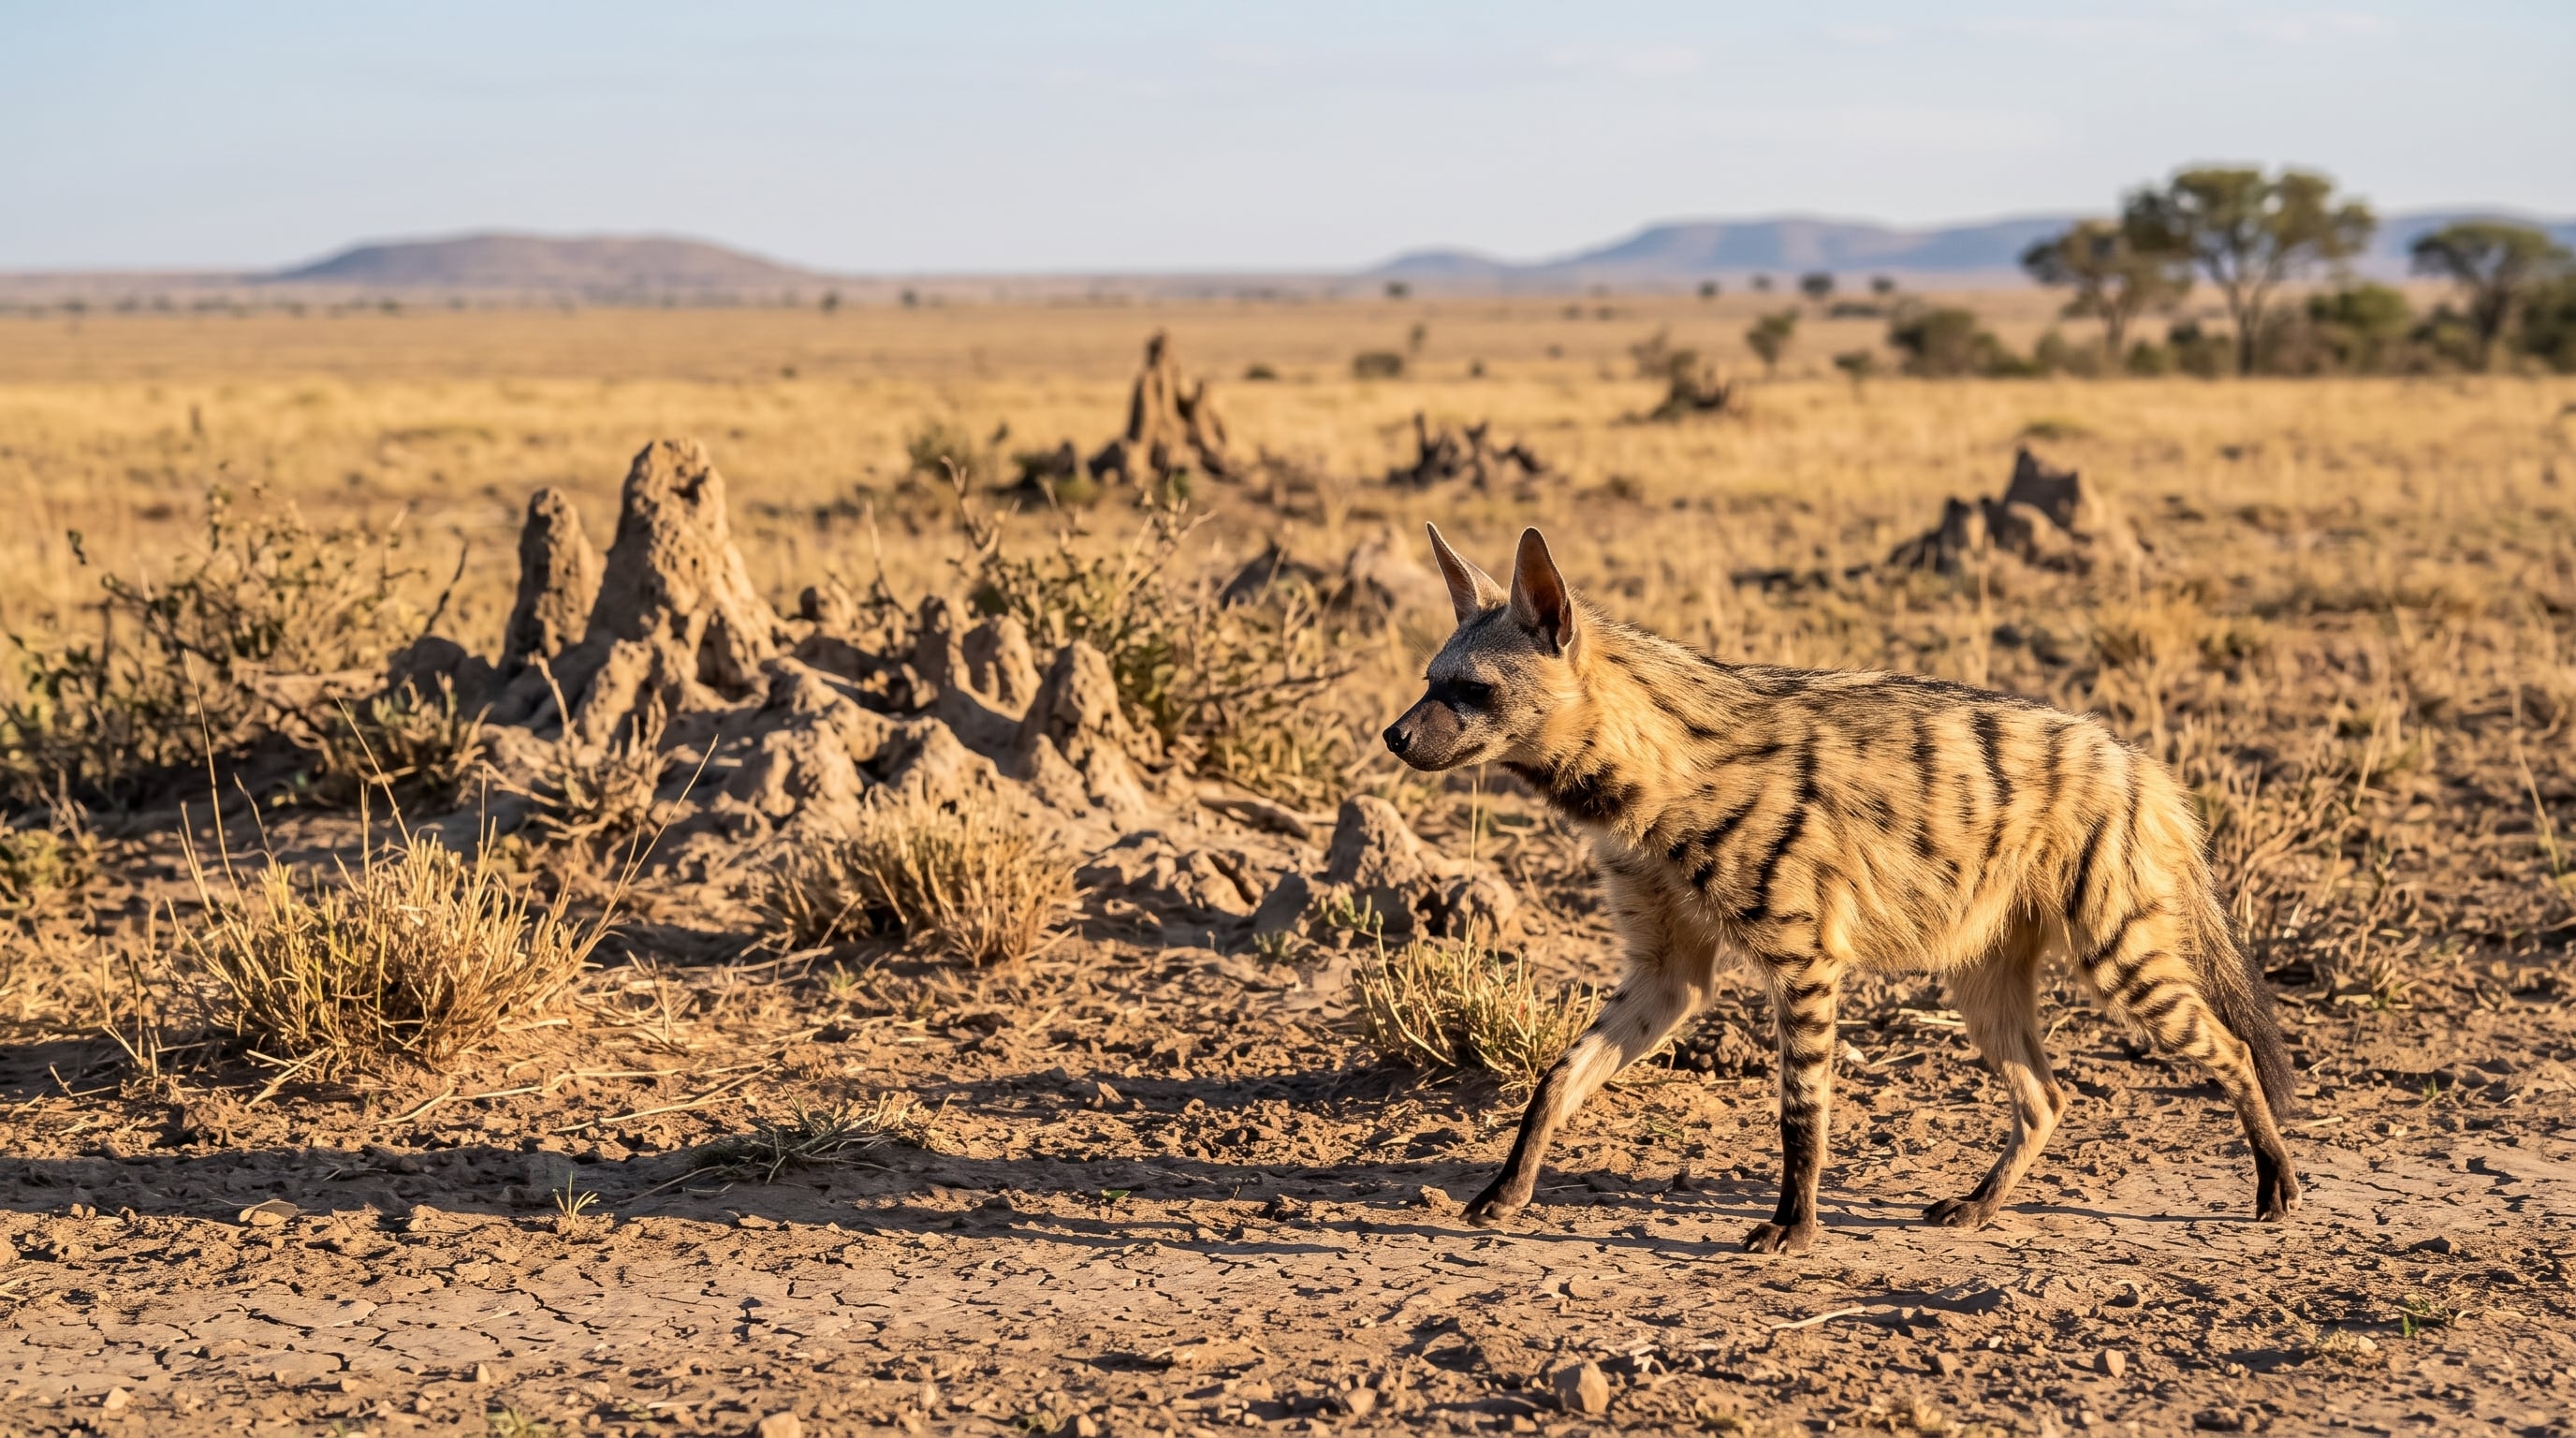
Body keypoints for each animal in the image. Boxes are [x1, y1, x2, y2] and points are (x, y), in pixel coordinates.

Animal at [1380, 525, 2300, 1253]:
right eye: (1428, 678)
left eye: (1473, 689)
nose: (1393, 735)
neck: (1649, 783)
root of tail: (2143, 765)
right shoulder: (1667, 971)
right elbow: (1559, 1078)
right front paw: (1504, 1194)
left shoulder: (1804, 957)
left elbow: (1801, 1109)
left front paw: (1792, 1228)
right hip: (1981, 972)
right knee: (2046, 1096)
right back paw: (1975, 1208)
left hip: (2116, 950)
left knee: (2230, 1047)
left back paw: (2275, 1184)